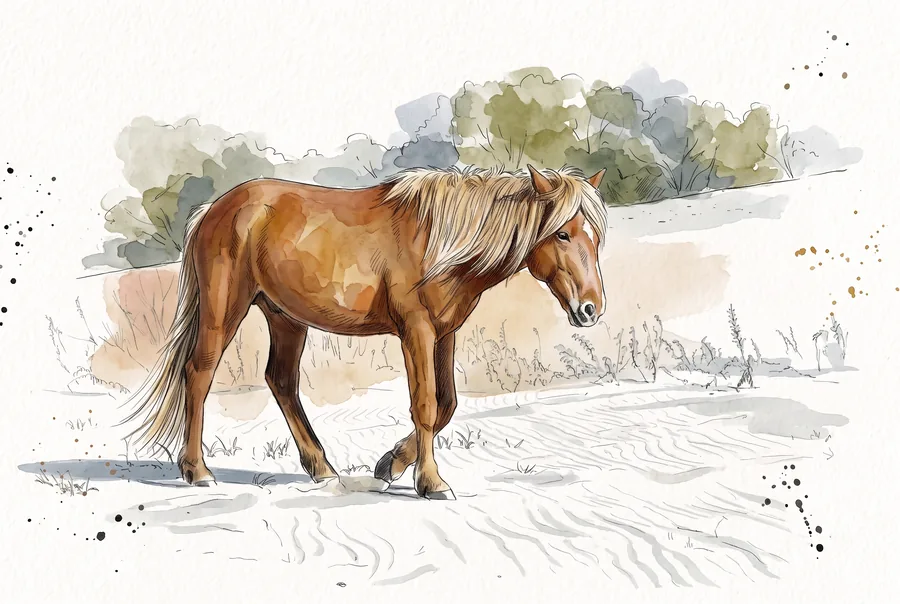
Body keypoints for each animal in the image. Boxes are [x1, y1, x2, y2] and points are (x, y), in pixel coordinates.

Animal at [123, 164, 609, 500]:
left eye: (595, 237)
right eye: (563, 234)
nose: (591, 309)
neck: (440, 242)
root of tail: (215, 209)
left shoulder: (445, 332)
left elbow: (447, 404)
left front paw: (390, 465)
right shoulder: (416, 331)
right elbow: (425, 405)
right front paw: (431, 483)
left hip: (284, 317)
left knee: (281, 381)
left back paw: (321, 469)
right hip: (225, 311)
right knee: (199, 373)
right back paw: (197, 472)